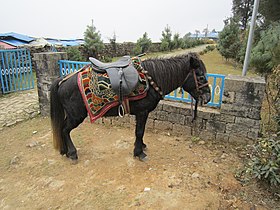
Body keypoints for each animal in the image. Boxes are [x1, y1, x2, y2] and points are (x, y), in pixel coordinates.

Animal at [50, 53, 211, 162]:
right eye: (200, 76)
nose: (208, 98)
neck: (151, 79)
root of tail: (63, 80)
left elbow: (140, 132)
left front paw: (142, 146)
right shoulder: (142, 112)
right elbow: (139, 131)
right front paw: (139, 152)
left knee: (62, 129)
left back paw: (65, 151)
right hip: (75, 116)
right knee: (64, 130)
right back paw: (72, 153)